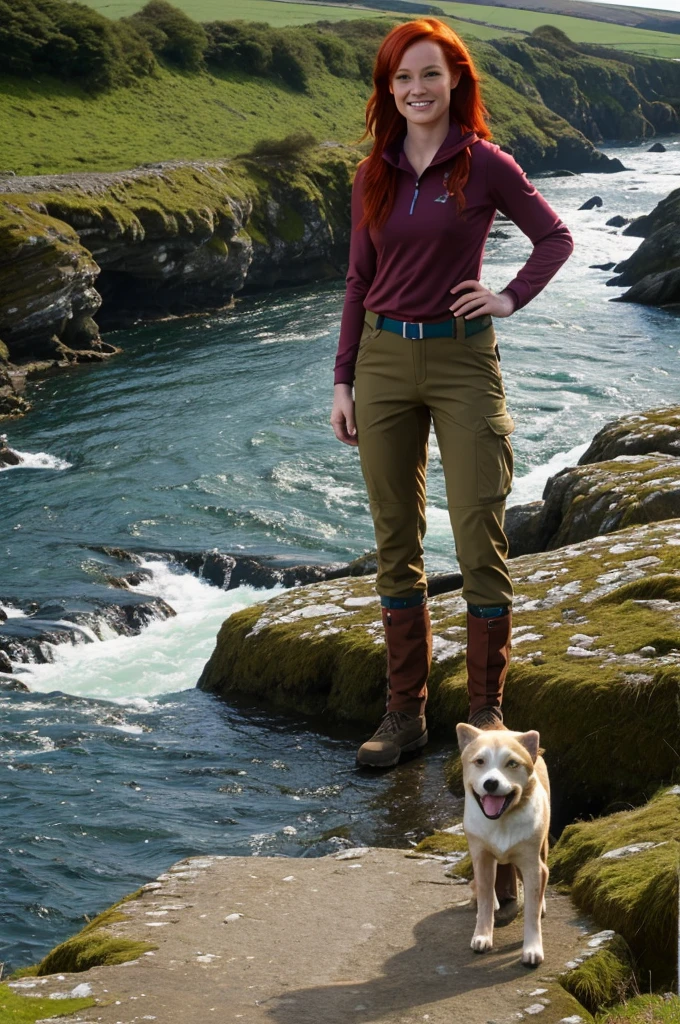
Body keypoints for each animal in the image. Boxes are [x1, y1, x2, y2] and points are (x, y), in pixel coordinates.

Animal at [454, 724, 548, 962]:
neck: (501, 821)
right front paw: (482, 936)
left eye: (512, 763)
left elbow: (531, 911)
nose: (491, 782)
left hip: (542, 850)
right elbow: (485, 898)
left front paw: (532, 948)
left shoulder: (532, 865)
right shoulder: (481, 857)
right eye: (479, 761)